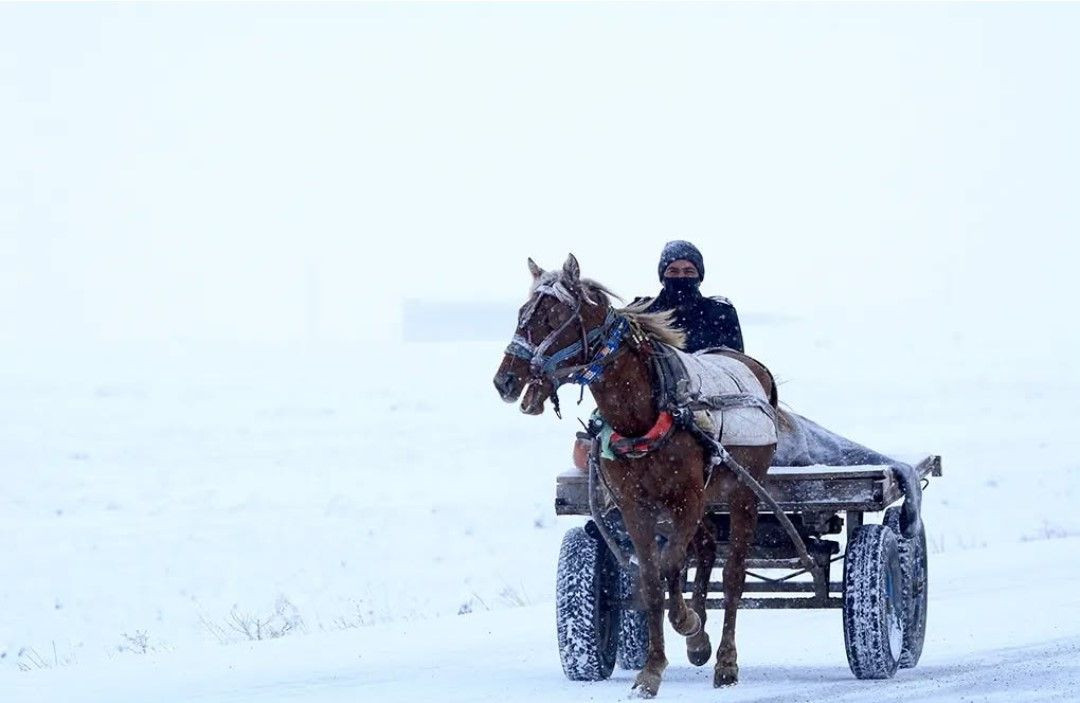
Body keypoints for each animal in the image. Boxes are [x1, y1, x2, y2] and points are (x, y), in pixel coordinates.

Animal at [494, 254, 781, 699]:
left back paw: (725, 661)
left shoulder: (686, 499)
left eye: (552, 316)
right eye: (523, 312)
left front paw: (687, 624)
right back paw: (700, 641)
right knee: (705, 549)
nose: (504, 380)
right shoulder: (635, 507)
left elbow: (671, 566)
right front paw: (654, 668)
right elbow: (651, 579)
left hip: (743, 494)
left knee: (733, 574)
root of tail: (753, 370)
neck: (644, 414)